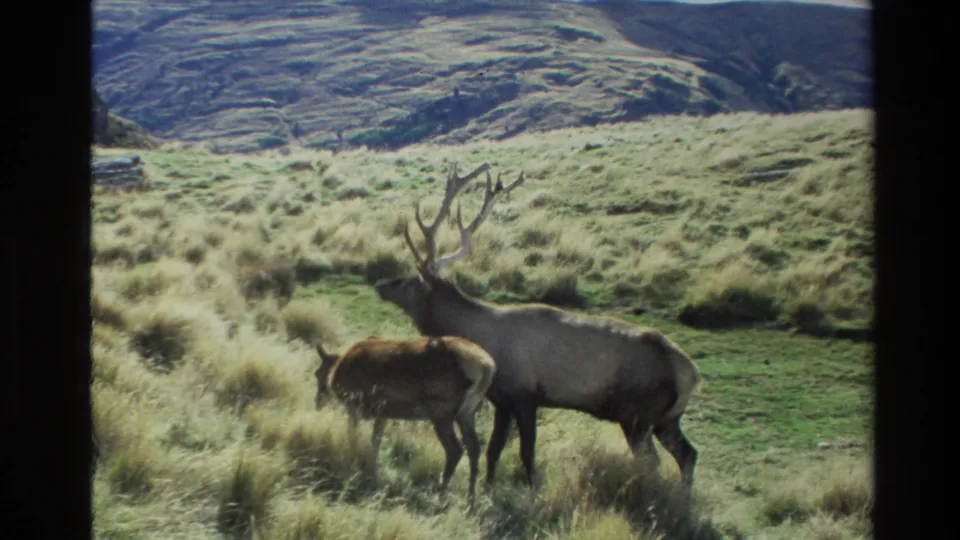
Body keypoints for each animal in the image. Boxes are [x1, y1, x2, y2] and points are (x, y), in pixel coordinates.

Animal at [313, 335, 497, 502]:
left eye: (317, 374)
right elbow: (375, 444)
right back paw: (470, 499)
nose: (317, 403)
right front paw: (375, 477)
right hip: (466, 415)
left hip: (441, 413)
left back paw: (441, 493)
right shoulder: (383, 413)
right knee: (474, 447)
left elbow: (353, 437)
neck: (338, 369)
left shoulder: (354, 406)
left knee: (455, 449)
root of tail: (487, 367)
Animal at [372, 161, 703, 492]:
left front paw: (529, 493)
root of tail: (691, 373)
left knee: (653, 462)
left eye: (409, 281)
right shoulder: (502, 400)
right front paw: (488, 488)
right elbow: (494, 449)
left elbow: (526, 453)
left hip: (638, 415)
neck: (484, 339)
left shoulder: (525, 396)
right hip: (667, 418)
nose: (379, 284)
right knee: (688, 453)